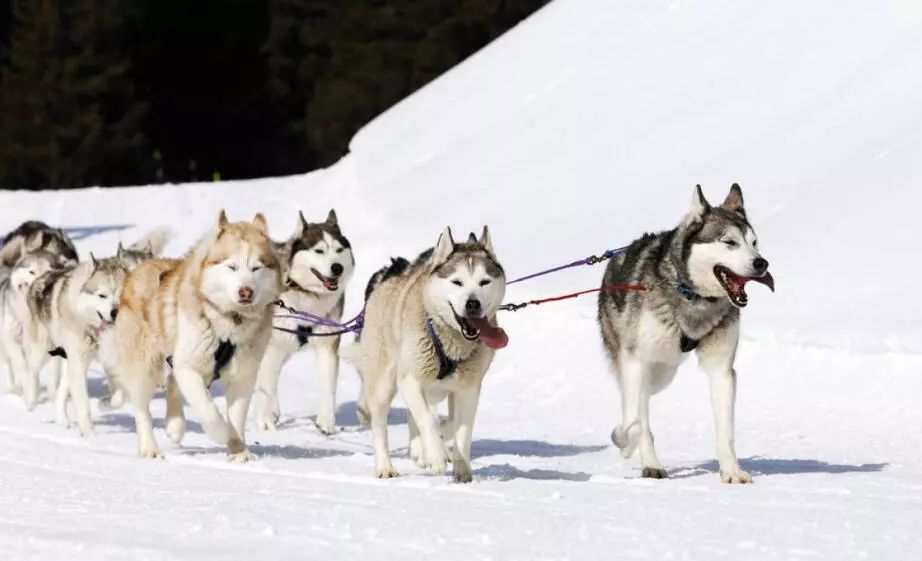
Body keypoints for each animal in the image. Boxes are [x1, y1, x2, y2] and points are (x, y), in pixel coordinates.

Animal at [103, 210, 278, 460]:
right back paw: (149, 448)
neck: (229, 322)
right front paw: (223, 434)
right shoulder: (189, 367)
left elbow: (236, 417)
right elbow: (209, 411)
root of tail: (135, 272)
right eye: (231, 266)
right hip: (144, 366)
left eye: (257, 267)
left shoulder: (243, 376)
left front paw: (239, 452)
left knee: (171, 382)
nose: (246, 291)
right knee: (142, 408)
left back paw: (175, 426)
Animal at [253, 210, 354, 434]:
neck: (304, 292)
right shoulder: (273, 344)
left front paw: (326, 421)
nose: (337, 268)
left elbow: (328, 386)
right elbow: (268, 384)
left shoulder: (327, 343)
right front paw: (267, 416)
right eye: (319, 251)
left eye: (339, 249)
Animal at [344, 228, 506, 482]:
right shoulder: (409, 380)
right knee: (381, 426)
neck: (449, 342)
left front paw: (461, 468)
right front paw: (436, 456)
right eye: (457, 282)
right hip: (384, 384)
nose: (473, 304)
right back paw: (386, 466)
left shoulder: (468, 388)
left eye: (484, 282)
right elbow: (428, 420)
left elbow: (460, 428)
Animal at [596, 184, 768, 482]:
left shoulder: (721, 370)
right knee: (637, 408)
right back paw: (650, 461)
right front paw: (624, 441)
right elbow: (633, 422)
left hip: (664, 372)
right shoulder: (636, 360)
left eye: (754, 242)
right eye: (729, 242)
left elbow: (726, 431)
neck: (692, 296)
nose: (762, 263)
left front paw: (731, 471)